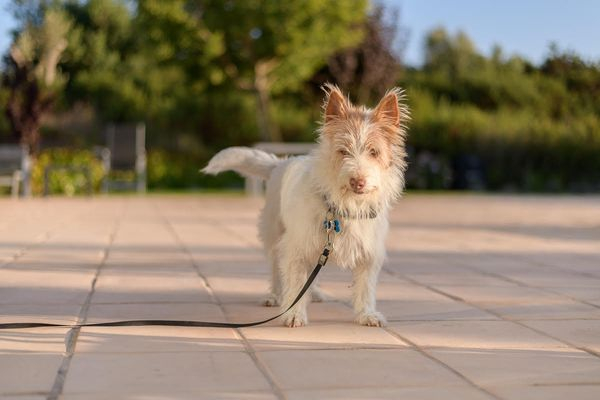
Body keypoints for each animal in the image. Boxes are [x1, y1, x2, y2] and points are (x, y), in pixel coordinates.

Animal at [203, 85, 409, 327]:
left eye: (374, 152)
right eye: (343, 151)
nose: (357, 181)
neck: (345, 203)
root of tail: (281, 163)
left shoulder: (368, 253)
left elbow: (365, 287)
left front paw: (367, 314)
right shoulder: (297, 248)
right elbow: (295, 283)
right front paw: (293, 313)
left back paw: (315, 293)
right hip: (275, 235)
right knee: (276, 269)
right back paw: (274, 295)